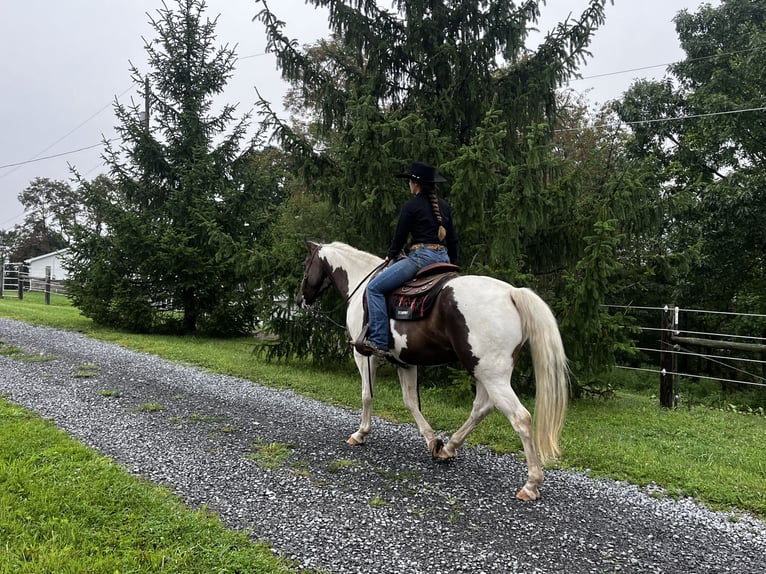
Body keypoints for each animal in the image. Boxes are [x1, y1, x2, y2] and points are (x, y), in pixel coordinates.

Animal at [297, 241, 569, 500]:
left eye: (306, 265)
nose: (302, 299)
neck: (362, 282)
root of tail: (512, 293)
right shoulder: (405, 362)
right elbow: (410, 401)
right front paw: (433, 441)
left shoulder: (364, 356)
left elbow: (367, 396)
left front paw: (360, 434)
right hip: (483, 371)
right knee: (481, 408)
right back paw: (449, 448)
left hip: (492, 375)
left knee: (520, 417)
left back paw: (531, 484)